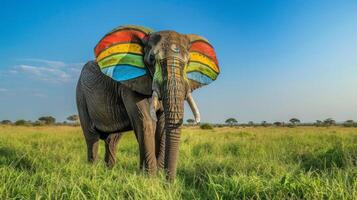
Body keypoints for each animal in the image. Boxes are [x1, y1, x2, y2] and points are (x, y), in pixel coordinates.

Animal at [76, 24, 218, 180]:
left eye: (188, 62)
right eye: (151, 59)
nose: (169, 182)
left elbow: (162, 124)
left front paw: (156, 176)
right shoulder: (130, 83)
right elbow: (146, 122)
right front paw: (150, 179)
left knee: (112, 139)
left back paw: (109, 170)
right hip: (81, 95)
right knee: (92, 137)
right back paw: (93, 171)